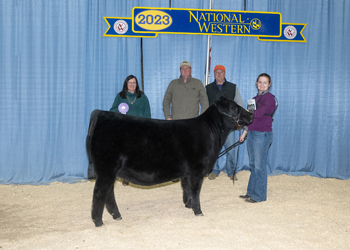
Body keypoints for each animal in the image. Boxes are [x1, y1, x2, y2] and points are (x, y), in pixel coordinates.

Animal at [86, 96, 253, 227]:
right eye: (234, 107)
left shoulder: (187, 172)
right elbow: (195, 191)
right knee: (100, 193)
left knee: (109, 194)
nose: (251, 114)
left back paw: (117, 215)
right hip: (106, 169)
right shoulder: (197, 170)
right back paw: (98, 222)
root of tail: (101, 113)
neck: (212, 132)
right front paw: (198, 211)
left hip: (110, 171)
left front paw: (188, 205)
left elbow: (186, 188)